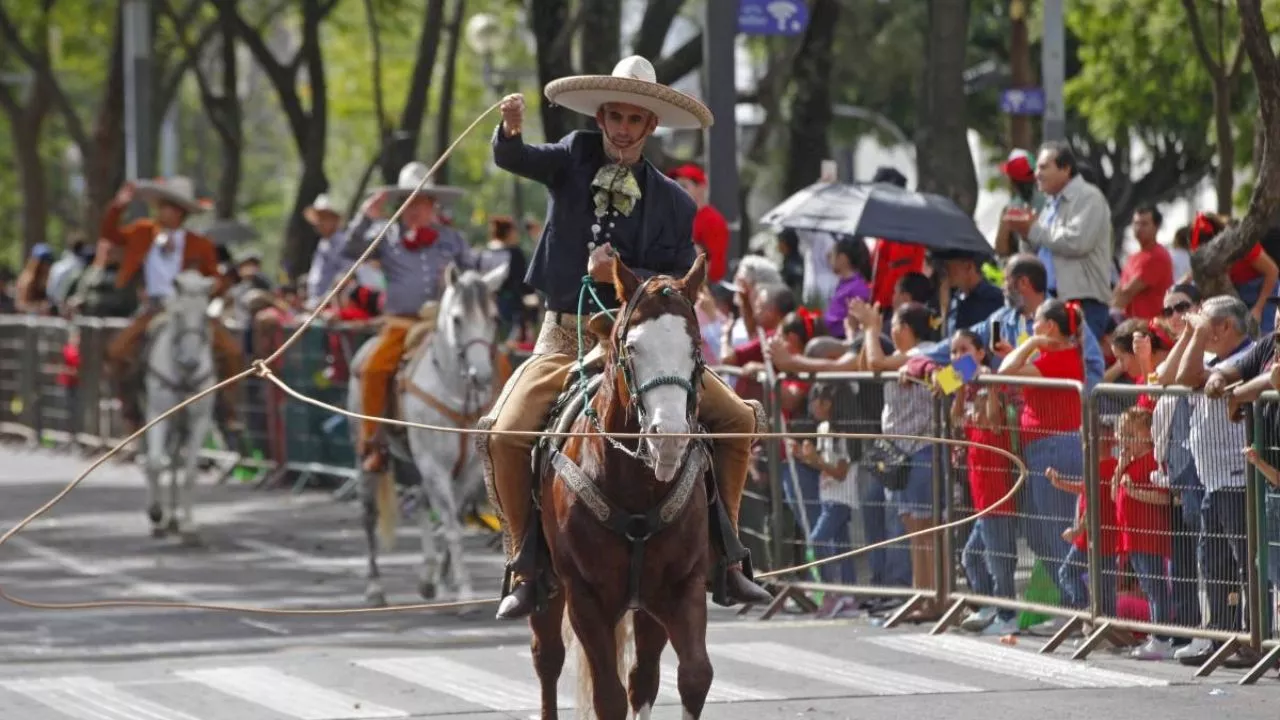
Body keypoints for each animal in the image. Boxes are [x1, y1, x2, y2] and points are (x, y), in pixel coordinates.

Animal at [141, 270, 216, 543]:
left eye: (205, 315)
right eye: (178, 314)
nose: (192, 362)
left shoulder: (199, 421)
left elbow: (190, 473)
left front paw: (189, 525)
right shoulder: (157, 415)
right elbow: (154, 463)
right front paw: (155, 513)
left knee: (175, 463)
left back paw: (174, 520)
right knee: (155, 462)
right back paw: (162, 520)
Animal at [350, 263, 514, 604]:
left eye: (493, 318)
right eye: (456, 319)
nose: (481, 375)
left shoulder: (469, 470)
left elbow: (455, 519)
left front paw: (444, 576)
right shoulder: (434, 465)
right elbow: (451, 524)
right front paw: (464, 590)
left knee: (421, 501)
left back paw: (428, 576)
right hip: (368, 455)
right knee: (370, 513)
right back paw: (375, 587)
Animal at [524, 254, 716, 712]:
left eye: (695, 348)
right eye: (633, 348)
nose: (669, 438)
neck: (636, 485)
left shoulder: (681, 586)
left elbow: (694, 676)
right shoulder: (585, 596)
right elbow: (607, 697)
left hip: (644, 607)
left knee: (642, 677)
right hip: (547, 586)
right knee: (548, 659)